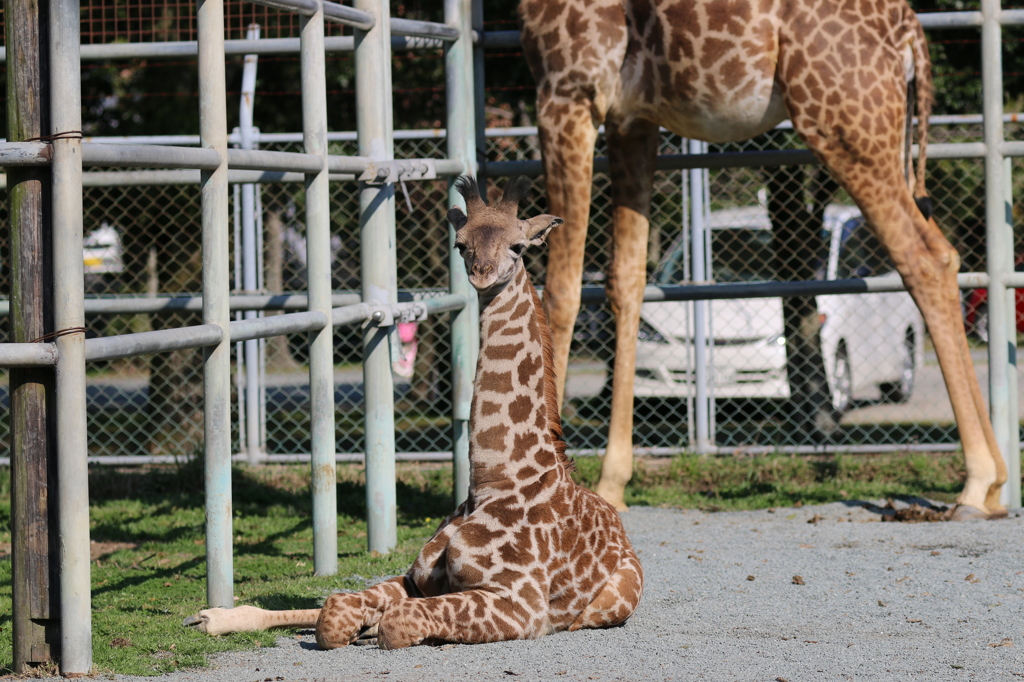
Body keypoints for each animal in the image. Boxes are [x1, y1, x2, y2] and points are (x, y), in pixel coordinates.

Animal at [186, 174, 638, 643]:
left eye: (518, 246)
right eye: (460, 243)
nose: (481, 275)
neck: (495, 478)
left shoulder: (521, 604)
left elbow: (396, 622)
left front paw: (379, 628)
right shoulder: (414, 578)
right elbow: (333, 611)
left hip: (607, 602)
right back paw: (210, 617)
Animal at [520, 0, 1007, 516]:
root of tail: (911, 34)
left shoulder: (568, 89)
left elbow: (560, 290)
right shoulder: (631, 119)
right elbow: (625, 281)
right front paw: (613, 483)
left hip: (844, 127)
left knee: (921, 258)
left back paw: (975, 481)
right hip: (879, 133)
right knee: (944, 253)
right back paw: (996, 482)